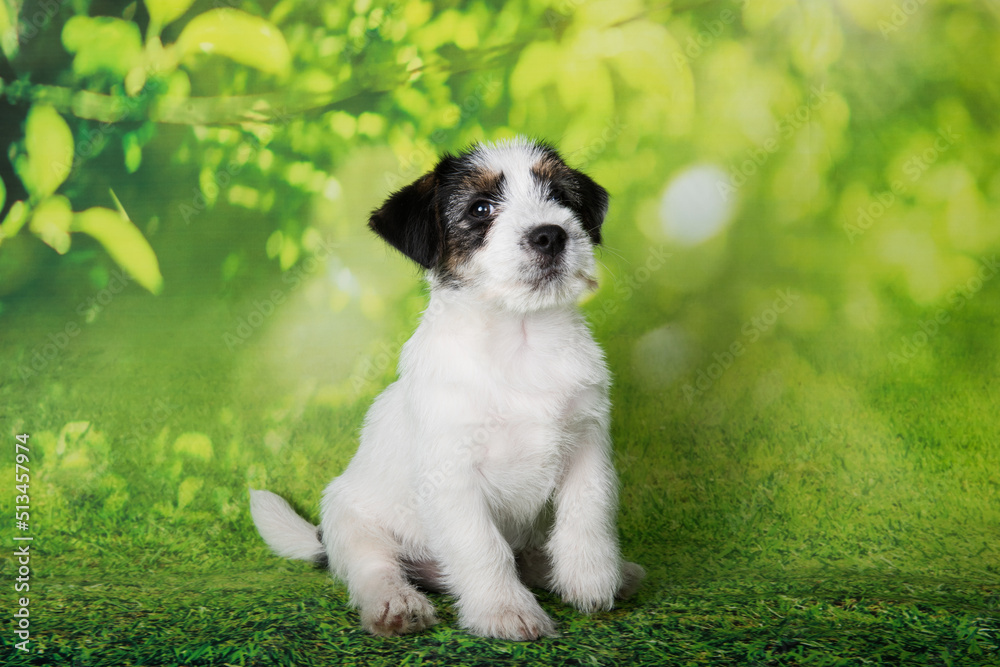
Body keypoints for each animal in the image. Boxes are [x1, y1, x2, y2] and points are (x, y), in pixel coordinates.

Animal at [246, 137, 644, 640]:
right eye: (481, 208)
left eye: (560, 196)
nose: (551, 234)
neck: (521, 339)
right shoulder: (454, 475)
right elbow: (482, 546)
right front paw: (504, 610)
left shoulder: (587, 444)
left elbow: (588, 512)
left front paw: (590, 578)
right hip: (351, 524)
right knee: (374, 568)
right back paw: (397, 605)